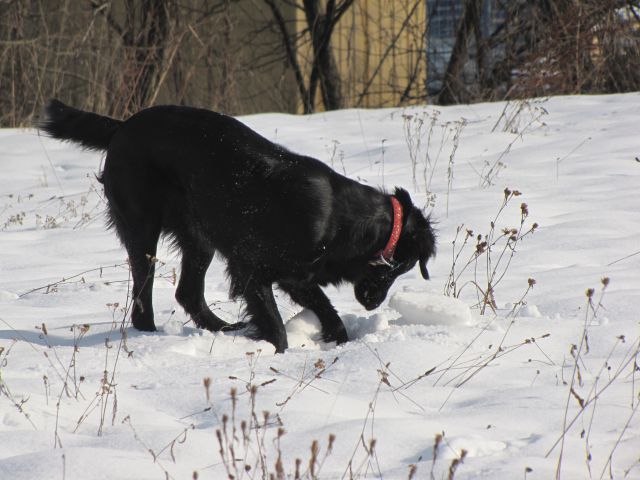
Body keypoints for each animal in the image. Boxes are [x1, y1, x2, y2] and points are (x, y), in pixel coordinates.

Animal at [38, 101, 436, 354]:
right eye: (402, 267)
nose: (373, 304)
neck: (343, 218)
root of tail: (122, 127)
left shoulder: (296, 276)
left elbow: (327, 311)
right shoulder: (251, 269)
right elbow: (277, 326)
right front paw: (274, 350)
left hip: (199, 235)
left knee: (188, 292)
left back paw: (224, 329)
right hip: (142, 226)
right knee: (143, 296)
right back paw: (152, 335)